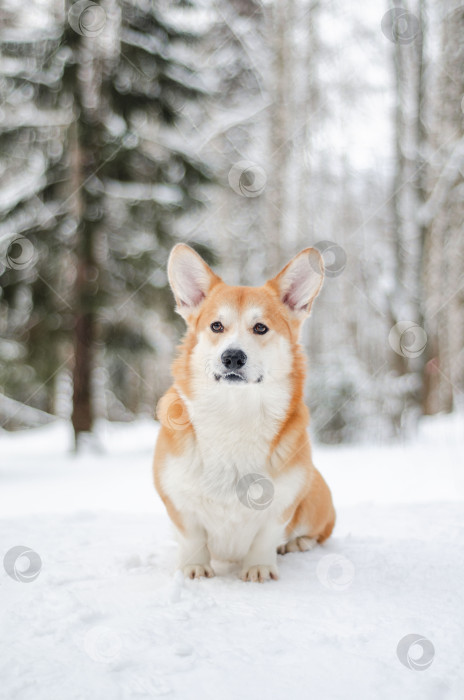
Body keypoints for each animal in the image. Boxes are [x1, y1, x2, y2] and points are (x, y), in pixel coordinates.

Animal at [154, 243, 336, 584]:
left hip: (315, 497)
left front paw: (259, 569)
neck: (234, 412)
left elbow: (265, 537)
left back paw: (298, 543)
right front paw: (193, 569)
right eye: (216, 326)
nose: (233, 357)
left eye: (260, 327)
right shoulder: (177, 500)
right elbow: (192, 538)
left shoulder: (282, 503)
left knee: (319, 533)